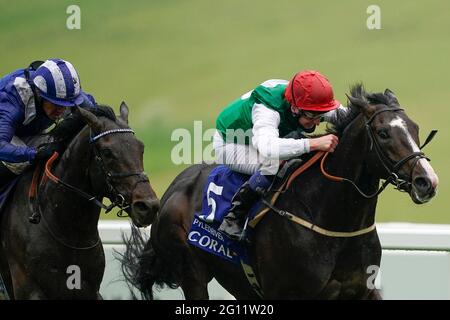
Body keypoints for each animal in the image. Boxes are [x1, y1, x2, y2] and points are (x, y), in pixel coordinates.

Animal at [121, 85, 438, 300]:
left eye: (415, 128)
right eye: (384, 133)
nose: (427, 181)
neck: (335, 224)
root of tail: (171, 190)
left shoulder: (363, 290)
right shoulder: (285, 293)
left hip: (238, 281)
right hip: (192, 273)